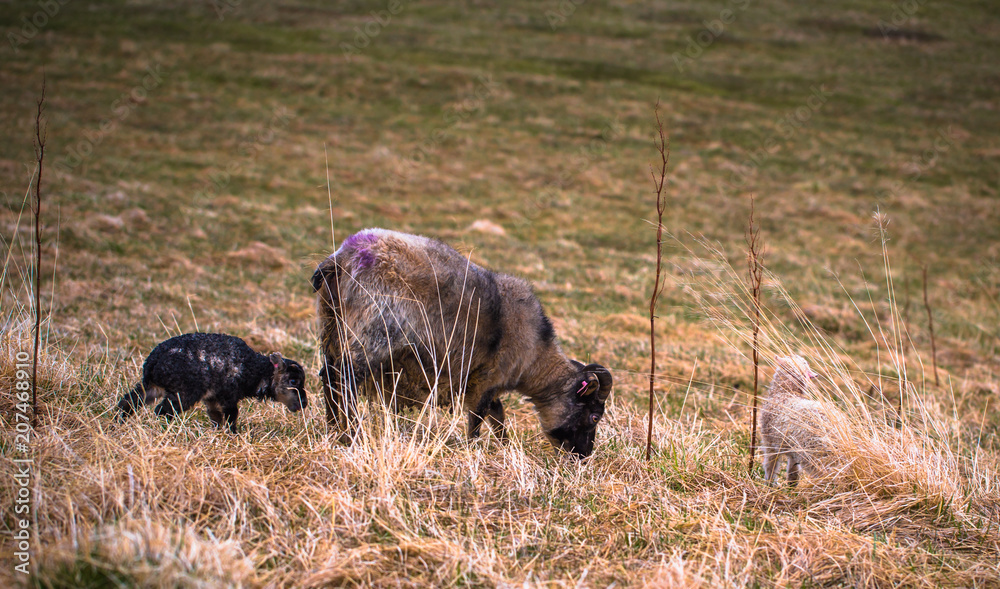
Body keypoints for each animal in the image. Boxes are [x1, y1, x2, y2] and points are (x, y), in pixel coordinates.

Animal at [115, 330, 306, 432]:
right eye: (293, 381)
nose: (303, 403)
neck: (253, 370)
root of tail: (153, 363)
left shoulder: (212, 399)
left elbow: (216, 419)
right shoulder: (228, 396)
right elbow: (231, 417)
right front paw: (233, 436)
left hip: (152, 387)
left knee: (129, 401)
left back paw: (117, 422)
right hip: (184, 392)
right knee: (162, 410)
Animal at [312, 227, 612, 458]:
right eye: (595, 416)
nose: (584, 456)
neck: (536, 354)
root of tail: (342, 258)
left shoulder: (483, 382)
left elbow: (497, 415)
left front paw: (503, 447)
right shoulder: (486, 378)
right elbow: (479, 417)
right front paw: (474, 448)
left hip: (331, 330)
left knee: (328, 378)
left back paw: (333, 430)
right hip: (369, 337)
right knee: (344, 382)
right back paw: (351, 435)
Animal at [756, 354, 844, 482]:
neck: (785, 393)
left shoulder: (769, 441)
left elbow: (770, 466)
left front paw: (769, 483)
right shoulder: (793, 452)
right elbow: (793, 473)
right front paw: (791, 486)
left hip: (813, 453)